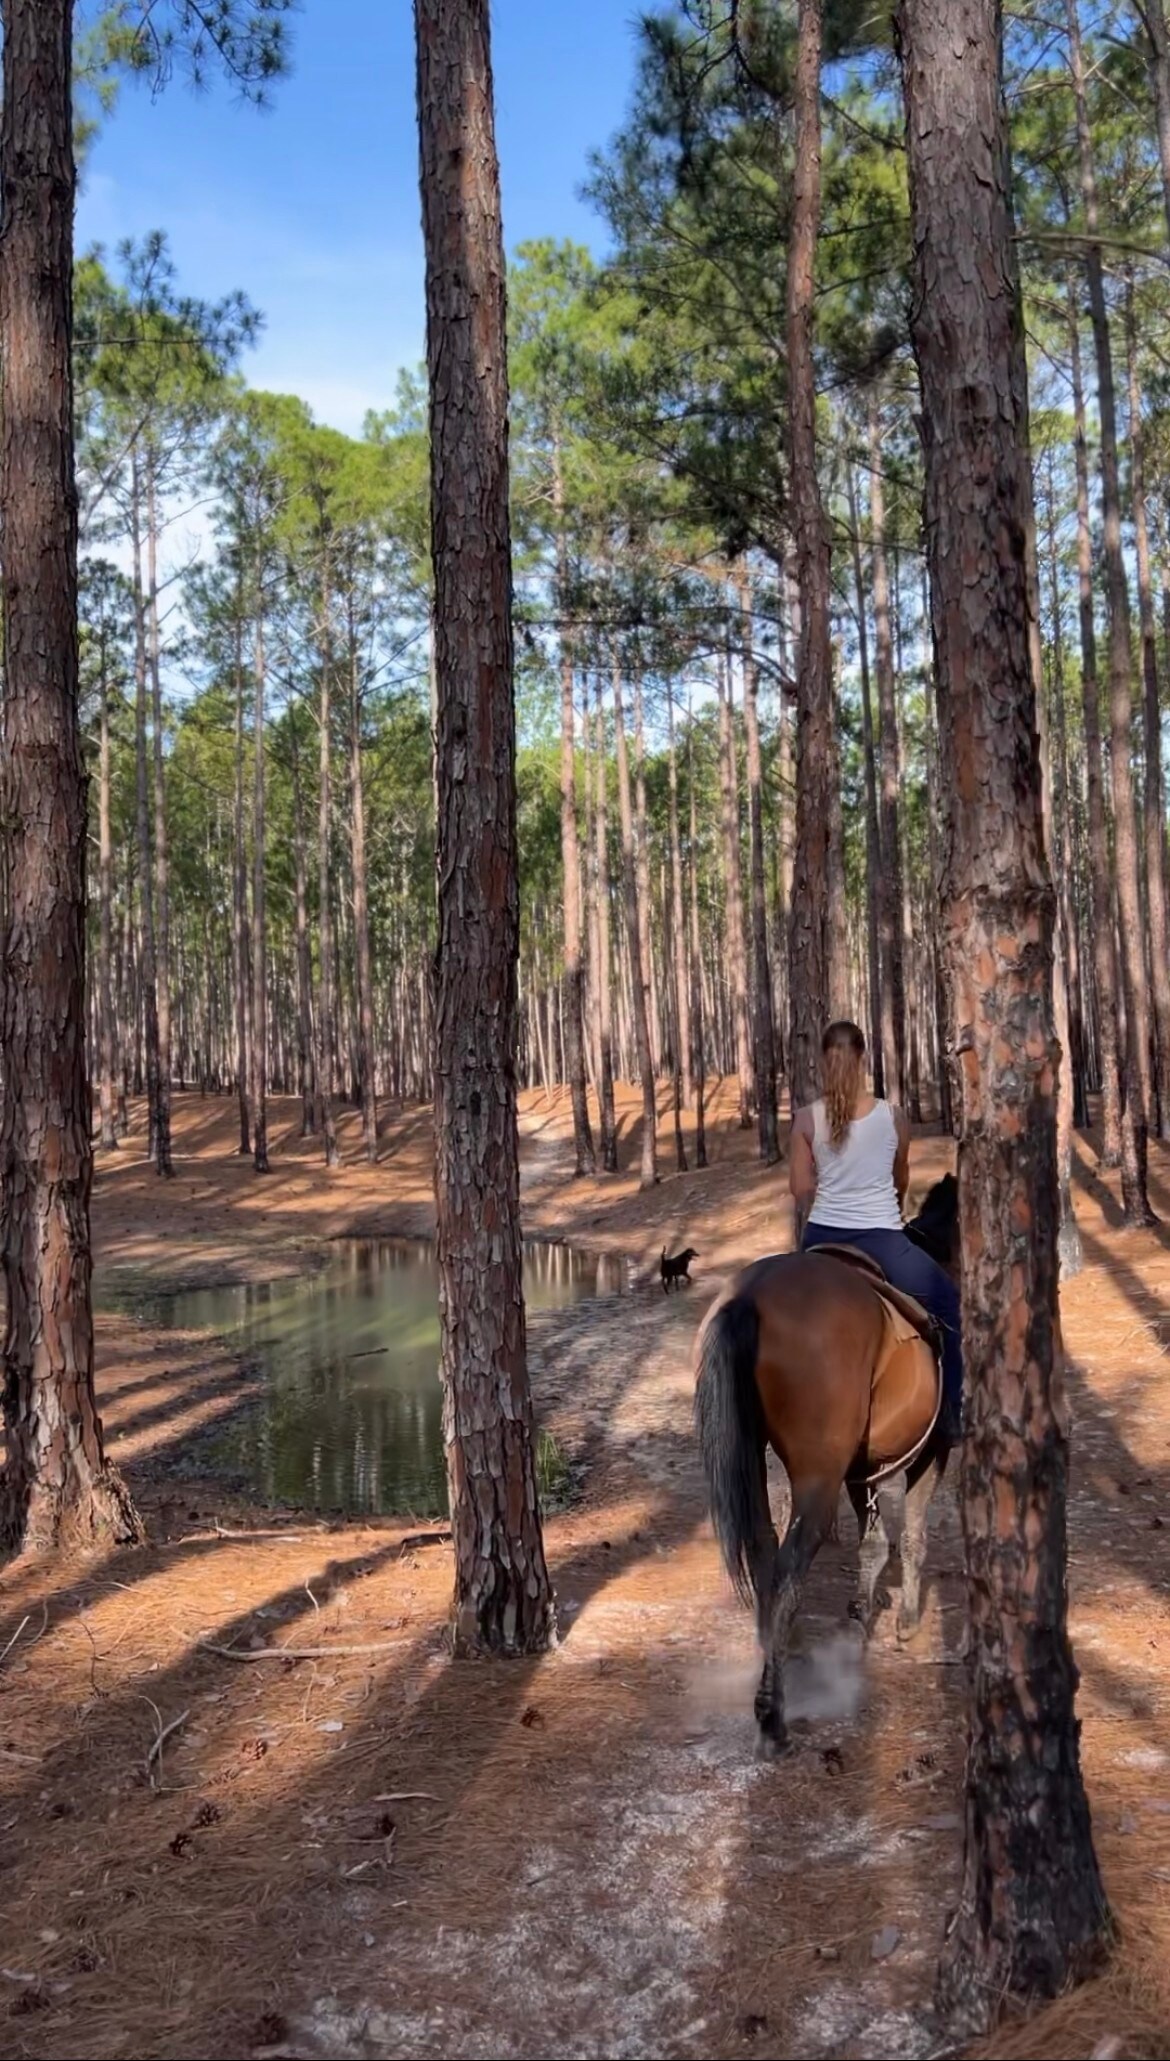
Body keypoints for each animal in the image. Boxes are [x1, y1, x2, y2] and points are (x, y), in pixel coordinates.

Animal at [696, 1178, 959, 1755]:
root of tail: (752, 1297)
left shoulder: (865, 1469)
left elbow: (872, 1544)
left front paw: (862, 1618)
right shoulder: (931, 1453)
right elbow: (911, 1539)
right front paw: (905, 1622)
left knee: (765, 1551)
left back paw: (782, 1656)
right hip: (818, 1475)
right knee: (791, 1562)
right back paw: (772, 1719)